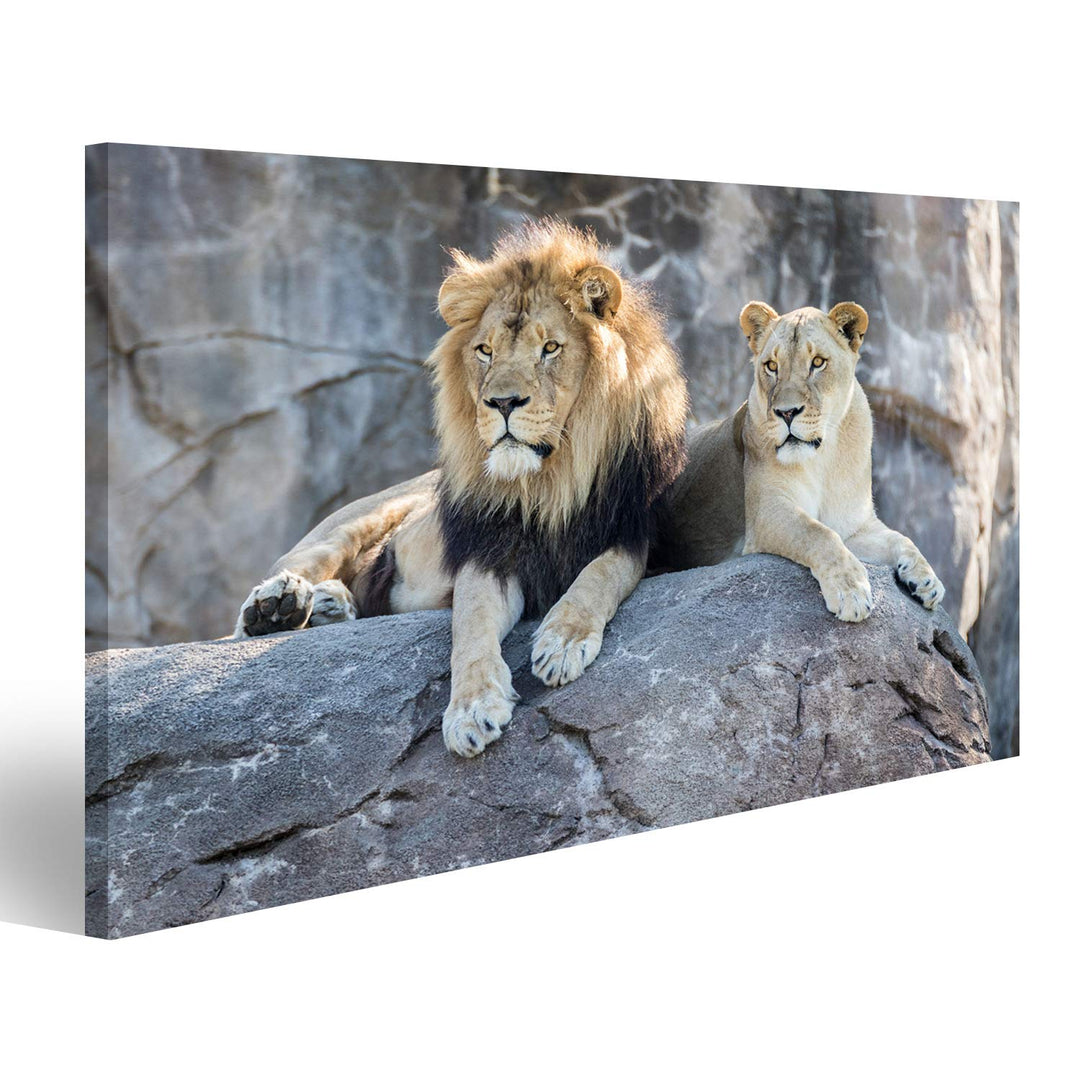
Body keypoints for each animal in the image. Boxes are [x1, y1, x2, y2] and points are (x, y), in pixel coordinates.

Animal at [234, 221, 689, 757]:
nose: (503, 402)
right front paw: (471, 710)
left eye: (550, 348)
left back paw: (328, 606)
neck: (548, 482)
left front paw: (562, 641)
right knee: (283, 580)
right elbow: (469, 626)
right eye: (485, 351)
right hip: (352, 523)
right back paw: (277, 607)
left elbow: (600, 576)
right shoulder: (486, 549)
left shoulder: (633, 533)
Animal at [653, 301, 944, 621]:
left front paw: (927, 580)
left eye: (817, 362)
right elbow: (818, 534)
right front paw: (851, 591)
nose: (787, 412)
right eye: (771, 366)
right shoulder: (767, 511)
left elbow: (900, 538)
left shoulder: (854, 526)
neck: (824, 458)